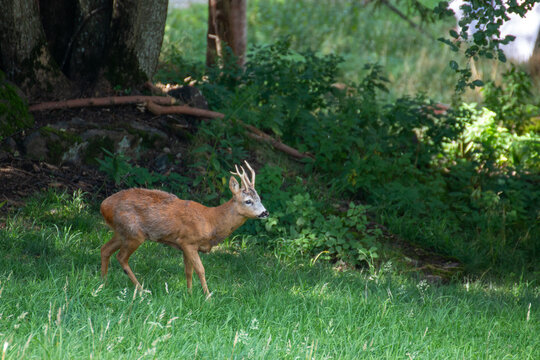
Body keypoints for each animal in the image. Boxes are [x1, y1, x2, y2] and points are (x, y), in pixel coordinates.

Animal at [99, 161, 268, 296]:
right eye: (248, 201)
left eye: (259, 198)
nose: (265, 212)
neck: (211, 221)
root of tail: (103, 205)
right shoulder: (188, 241)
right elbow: (200, 270)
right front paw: (208, 297)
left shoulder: (185, 245)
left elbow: (188, 271)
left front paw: (189, 294)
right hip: (134, 233)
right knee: (121, 257)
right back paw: (141, 290)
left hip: (122, 232)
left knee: (105, 249)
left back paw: (103, 283)